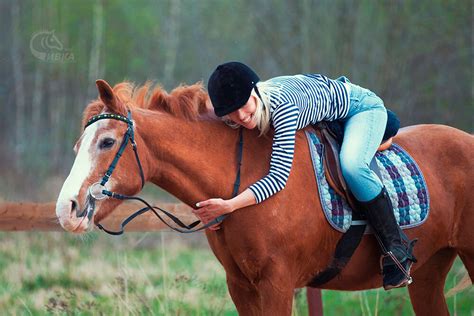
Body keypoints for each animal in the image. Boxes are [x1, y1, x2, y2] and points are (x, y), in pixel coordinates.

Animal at [56, 80, 474, 314]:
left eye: (107, 142)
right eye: (77, 145)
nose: (66, 209)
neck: (240, 179)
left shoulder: (277, 284)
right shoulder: (241, 286)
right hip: (427, 273)